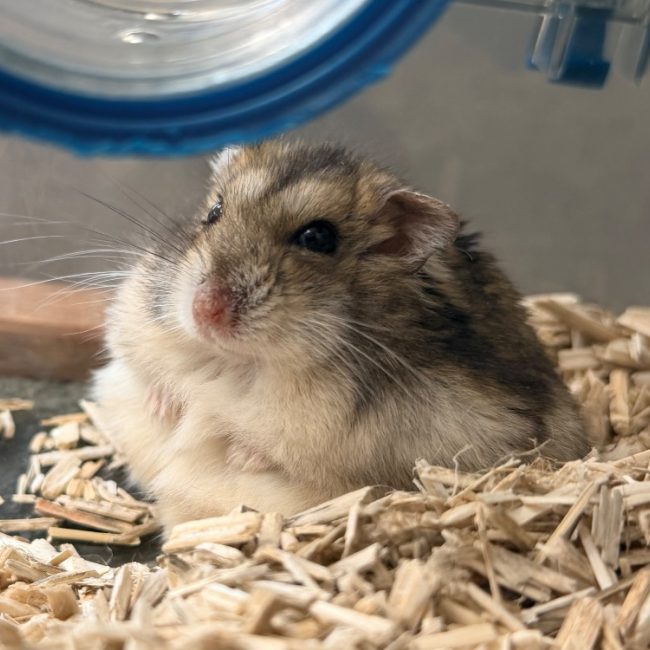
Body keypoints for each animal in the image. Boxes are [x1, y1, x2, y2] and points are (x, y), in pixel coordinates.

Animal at [92, 140, 589, 533]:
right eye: (214, 213)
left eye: (317, 237)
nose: (205, 312)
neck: (241, 360)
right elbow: (147, 375)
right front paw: (165, 406)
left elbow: (277, 449)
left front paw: (240, 454)